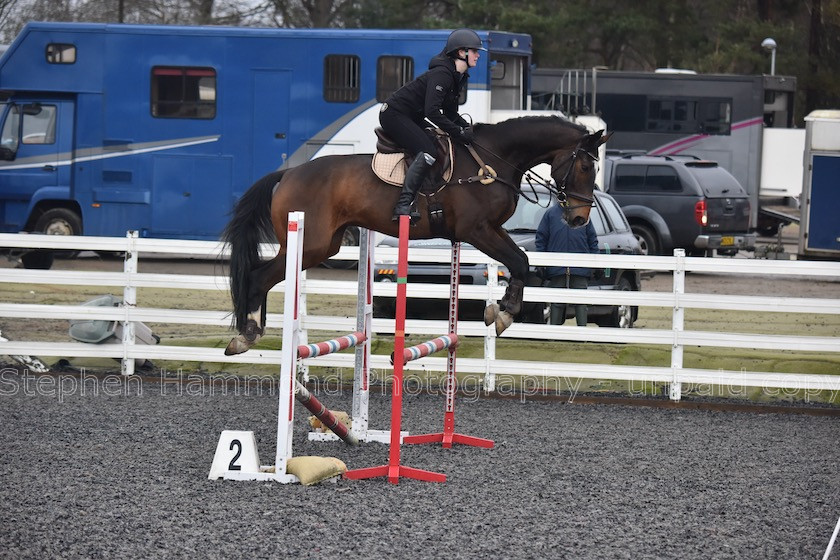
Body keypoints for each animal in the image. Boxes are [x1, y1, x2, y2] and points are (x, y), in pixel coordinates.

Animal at [223, 116, 612, 356]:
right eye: (584, 166)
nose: (579, 218)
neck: (494, 160)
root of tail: (287, 175)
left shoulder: (492, 229)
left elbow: (523, 260)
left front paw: (499, 310)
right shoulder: (476, 230)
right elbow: (519, 261)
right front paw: (504, 314)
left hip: (324, 244)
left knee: (262, 276)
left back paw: (250, 331)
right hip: (310, 244)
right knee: (258, 276)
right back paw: (246, 333)